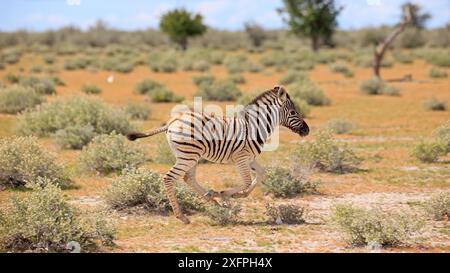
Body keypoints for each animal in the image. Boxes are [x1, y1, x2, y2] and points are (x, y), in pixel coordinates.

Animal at [126, 85, 310, 223]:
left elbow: (260, 175)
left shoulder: (250, 159)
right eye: (293, 112)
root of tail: (172, 121)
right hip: (188, 155)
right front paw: (225, 194)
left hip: (190, 155)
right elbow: (246, 181)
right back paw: (182, 215)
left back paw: (211, 200)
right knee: (169, 178)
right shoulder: (241, 158)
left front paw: (236, 195)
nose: (307, 130)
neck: (254, 127)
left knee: (188, 178)